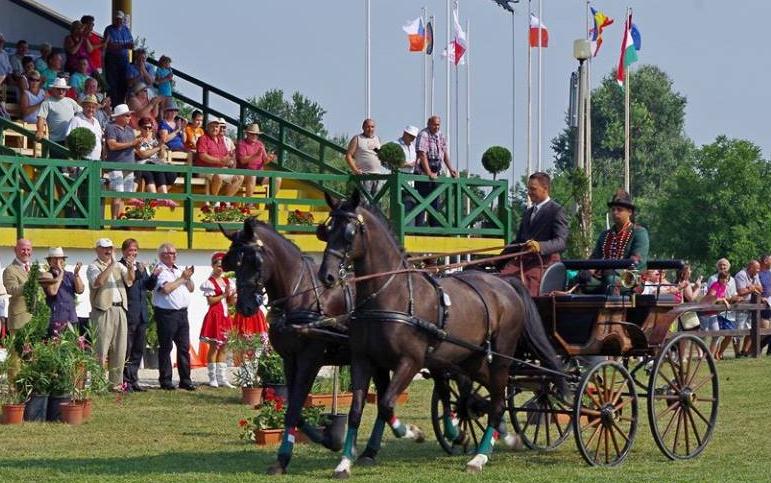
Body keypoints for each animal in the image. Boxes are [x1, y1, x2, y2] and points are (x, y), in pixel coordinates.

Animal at [222, 219, 428, 476]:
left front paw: (286, 456)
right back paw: (369, 452)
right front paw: (326, 441)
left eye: (255, 261)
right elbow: (293, 408)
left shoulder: (310, 358)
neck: (301, 295)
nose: (246, 307)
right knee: (383, 396)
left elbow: (295, 406)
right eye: (233, 262)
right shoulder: (289, 360)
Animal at [316, 189, 564, 476]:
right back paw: (499, 437)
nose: (327, 276)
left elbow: (386, 404)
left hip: (501, 356)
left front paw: (413, 432)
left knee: (499, 399)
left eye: (349, 232)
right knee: (488, 396)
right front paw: (345, 462)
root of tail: (505, 284)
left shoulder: (410, 361)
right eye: (326, 230)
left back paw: (480, 457)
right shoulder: (363, 360)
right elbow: (357, 410)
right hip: (471, 358)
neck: (392, 295)